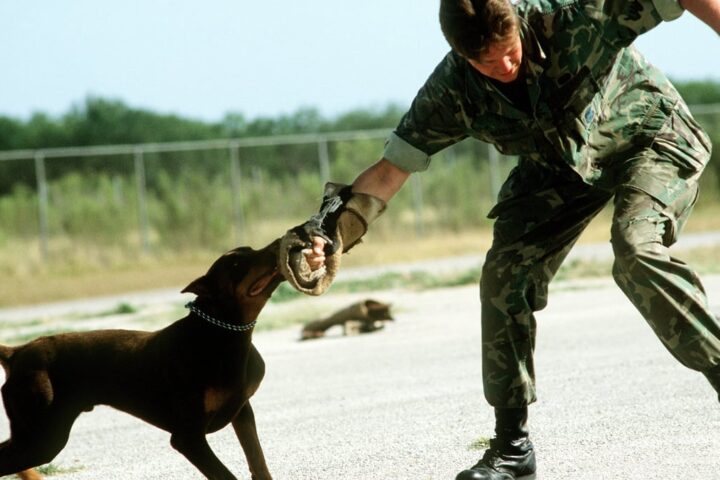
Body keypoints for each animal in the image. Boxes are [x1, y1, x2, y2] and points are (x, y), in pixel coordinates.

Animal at [0, 240, 286, 480]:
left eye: (250, 249)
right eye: (236, 264)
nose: (278, 244)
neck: (221, 334)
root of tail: (16, 352)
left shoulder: (242, 410)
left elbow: (258, 461)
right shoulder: (188, 438)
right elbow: (225, 474)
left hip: (31, 433)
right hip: (43, 435)